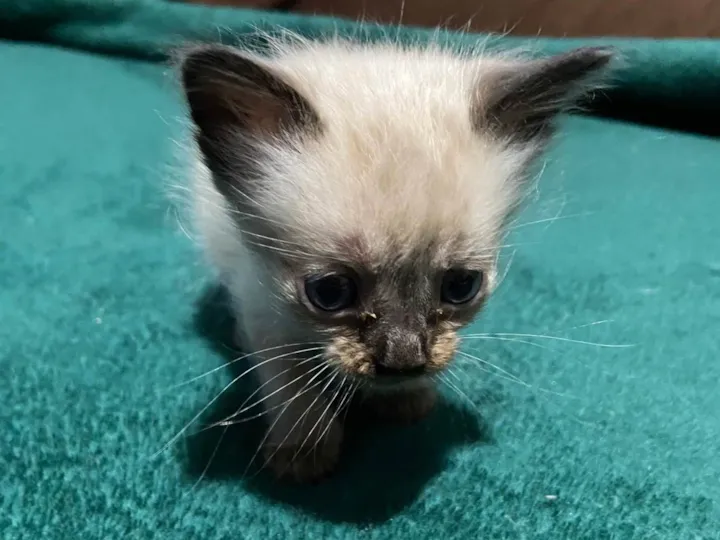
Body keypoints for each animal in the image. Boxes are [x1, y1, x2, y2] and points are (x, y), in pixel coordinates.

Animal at [178, 35, 612, 482]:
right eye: (330, 292)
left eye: (461, 286)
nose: (404, 361)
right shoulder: (262, 303)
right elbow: (291, 381)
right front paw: (304, 449)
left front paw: (405, 397)